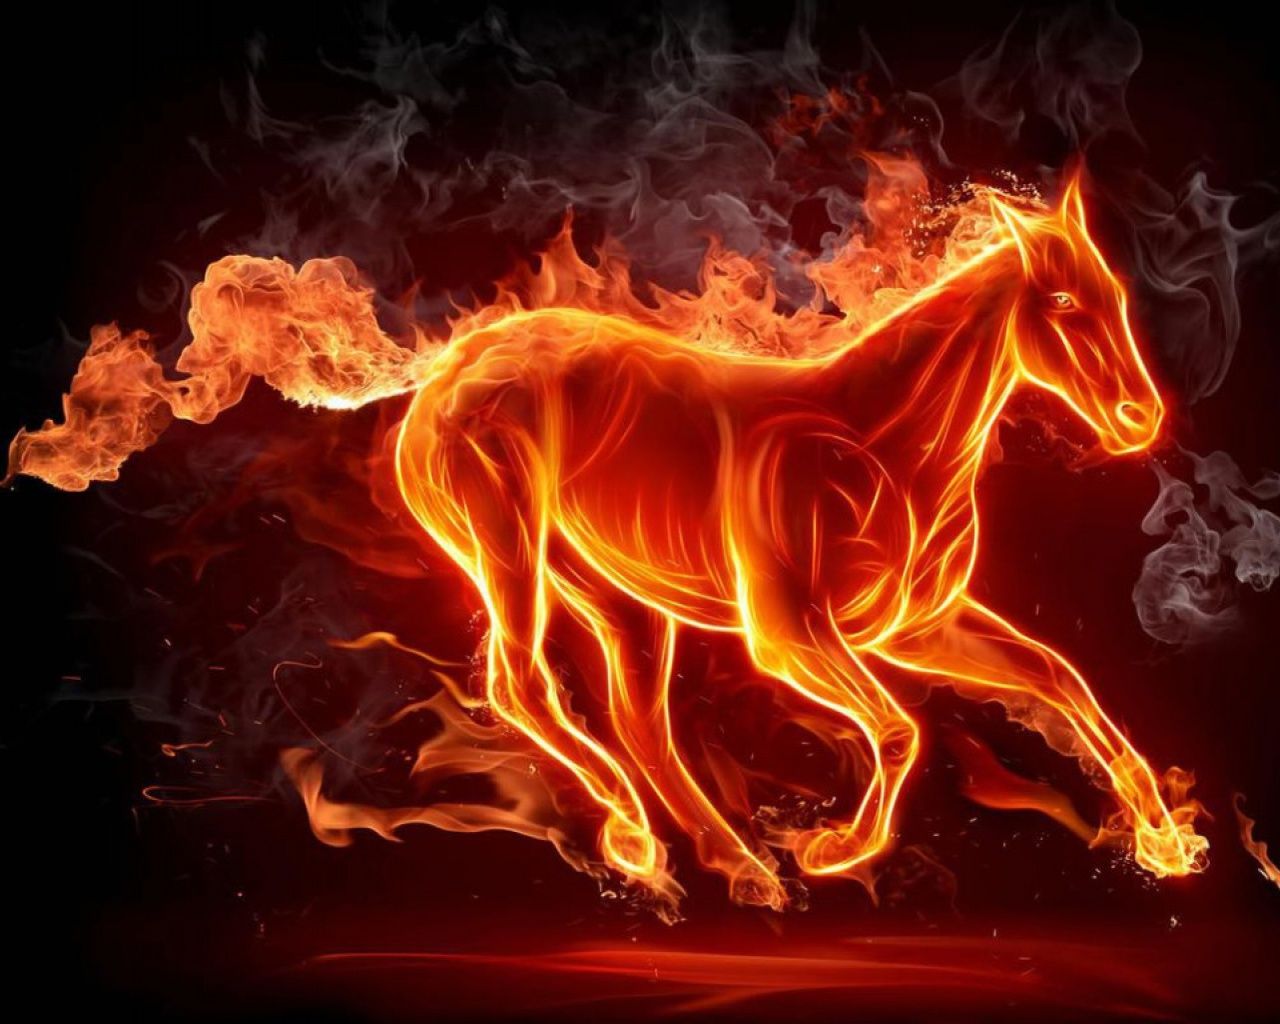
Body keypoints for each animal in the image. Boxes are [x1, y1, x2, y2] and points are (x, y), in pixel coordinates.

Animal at [392, 177, 1208, 909]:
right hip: (508, 550)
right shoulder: (788, 633)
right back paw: (636, 837)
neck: (886, 443)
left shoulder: (917, 629)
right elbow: (899, 729)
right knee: (522, 684)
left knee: (638, 720)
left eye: (1115, 293)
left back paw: (741, 868)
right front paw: (836, 847)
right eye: (1063, 302)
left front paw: (1165, 843)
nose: (1140, 419)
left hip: (614, 589)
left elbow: (1058, 677)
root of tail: (448, 372)